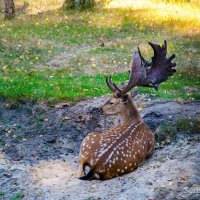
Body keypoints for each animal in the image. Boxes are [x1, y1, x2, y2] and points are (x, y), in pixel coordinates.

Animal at [77, 40, 176, 180]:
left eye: (111, 101)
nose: (99, 109)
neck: (135, 120)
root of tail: (96, 165)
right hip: (89, 140)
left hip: (89, 137)